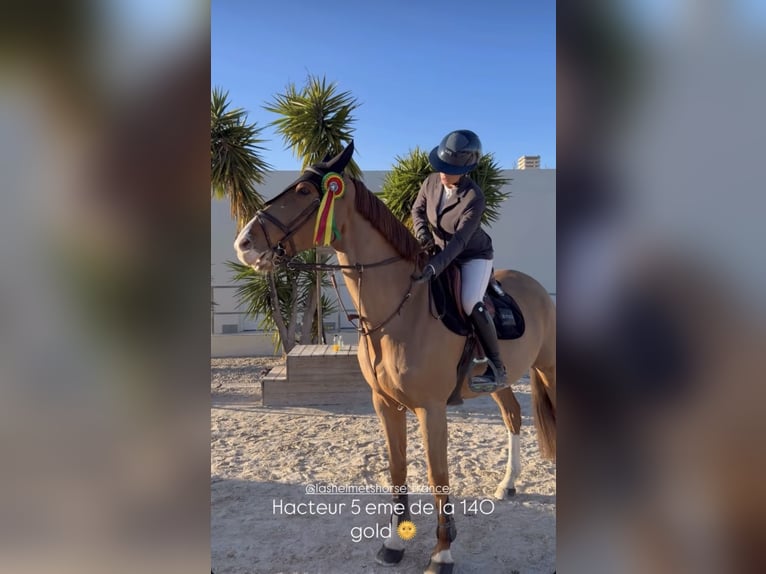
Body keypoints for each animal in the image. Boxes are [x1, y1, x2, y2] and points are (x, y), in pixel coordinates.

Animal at [234, 142, 556, 573]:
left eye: (303, 192)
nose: (244, 243)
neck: (401, 312)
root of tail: (535, 286)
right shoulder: (385, 404)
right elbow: (398, 468)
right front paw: (394, 541)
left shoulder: (431, 409)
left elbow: (438, 475)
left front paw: (443, 552)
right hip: (500, 380)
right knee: (513, 415)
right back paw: (508, 483)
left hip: (549, 368)